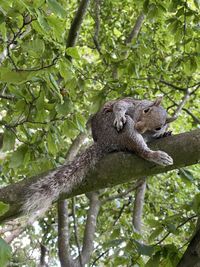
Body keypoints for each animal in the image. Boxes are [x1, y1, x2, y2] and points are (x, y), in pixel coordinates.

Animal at [23, 96, 173, 220]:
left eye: (158, 127)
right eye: (146, 110)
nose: (139, 127)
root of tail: (104, 140)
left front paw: (163, 133)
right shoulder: (132, 103)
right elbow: (120, 105)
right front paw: (119, 115)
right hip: (122, 128)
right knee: (139, 148)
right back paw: (154, 155)